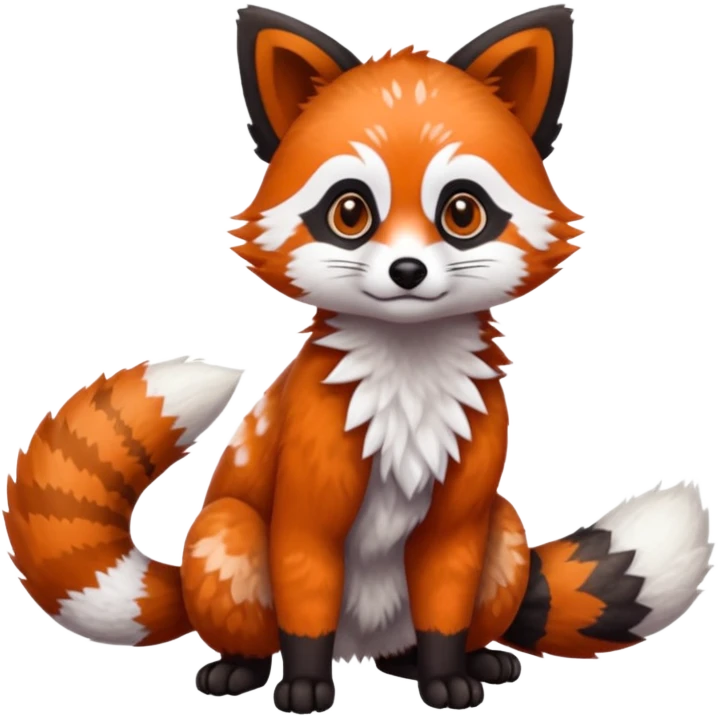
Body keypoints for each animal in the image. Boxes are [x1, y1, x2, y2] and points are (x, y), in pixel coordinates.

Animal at [2, 3, 714, 714]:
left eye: (462, 211)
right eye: (350, 212)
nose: (407, 271)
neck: (408, 385)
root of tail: (364, 645)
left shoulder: (459, 523)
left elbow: (444, 612)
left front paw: (446, 677)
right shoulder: (306, 509)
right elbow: (306, 603)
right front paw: (305, 685)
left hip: (505, 530)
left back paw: (458, 660)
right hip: (227, 534)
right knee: (251, 618)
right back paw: (239, 669)